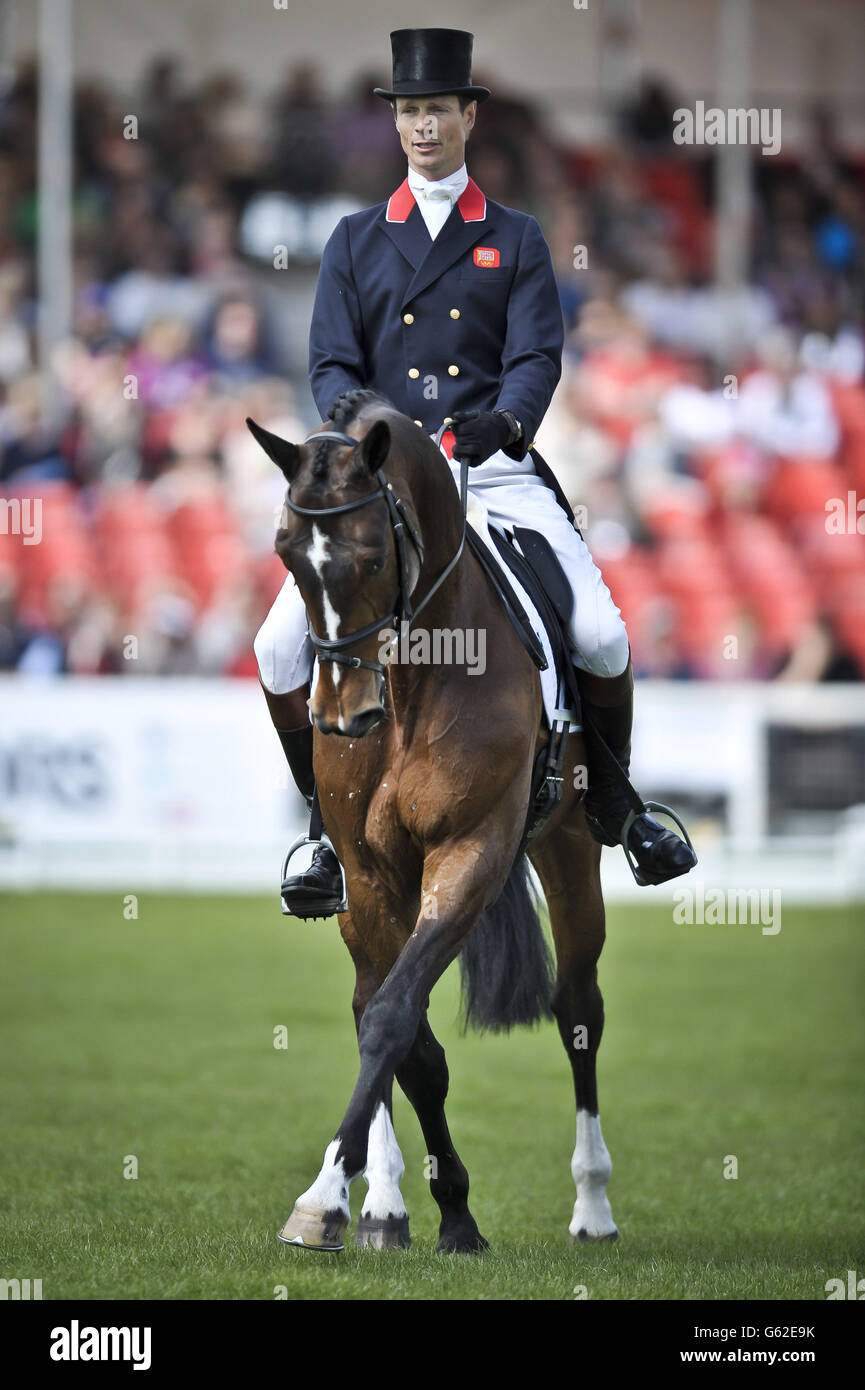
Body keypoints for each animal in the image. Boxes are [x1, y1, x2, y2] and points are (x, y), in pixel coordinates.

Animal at [247, 389, 620, 1251]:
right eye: (286, 554)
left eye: (371, 555)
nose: (340, 716)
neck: (414, 677)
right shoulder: (371, 872)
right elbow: (403, 1038)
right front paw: (397, 1203)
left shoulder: (469, 852)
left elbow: (395, 1019)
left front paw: (330, 1198)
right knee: (368, 1000)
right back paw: (383, 1203)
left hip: (569, 844)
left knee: (577, 1009)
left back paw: (592, 1206)